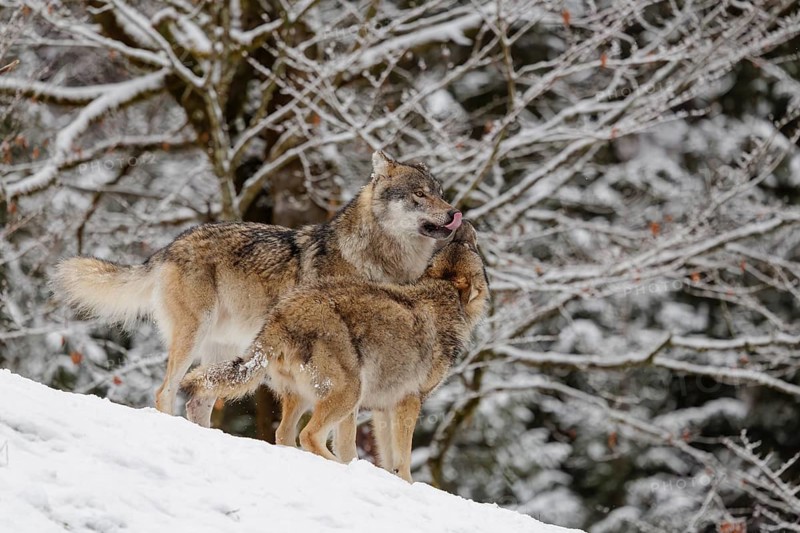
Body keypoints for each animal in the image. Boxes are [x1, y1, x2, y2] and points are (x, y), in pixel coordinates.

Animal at [52, 151, 462, 430]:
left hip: (226, 349)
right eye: (420, 195)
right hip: (193, 337)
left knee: (200, 398)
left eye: (440, 193)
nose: (453, 212)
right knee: (165, 391)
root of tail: (170, 246)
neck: (381, 262)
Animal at [181, 222, 489, 482]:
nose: (463, 223)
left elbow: (389, 456)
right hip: (349, 394)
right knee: (309, 436)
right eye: (469, 245)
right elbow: (403, 459)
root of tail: (282, 315)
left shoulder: (383, 408)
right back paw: (344, 469)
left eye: (457, 242)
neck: (443, 296)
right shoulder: (409, 401)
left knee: (283, 433)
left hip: (306, 398)